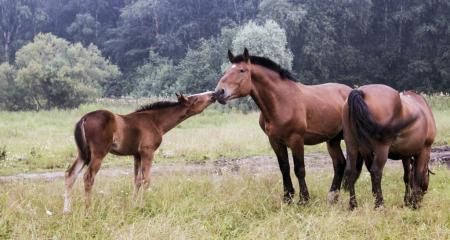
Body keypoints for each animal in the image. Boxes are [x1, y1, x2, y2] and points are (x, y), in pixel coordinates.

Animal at [63, 91, 216, 213]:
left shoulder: (136, 155)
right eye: (195, 99)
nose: (213, 94)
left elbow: (136, 180)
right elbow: (146, 180)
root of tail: (84, 119)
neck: (156, 122)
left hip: (83, 154)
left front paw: (134, 205)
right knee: (88, 177)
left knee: (70, 174)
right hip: (98, 153)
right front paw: (145, 205)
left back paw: (67, 211)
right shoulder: (148, 152)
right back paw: (88, 210)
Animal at [214, 48, 352, 204]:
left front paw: (304, 199)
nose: (219, 92)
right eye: (225, 71)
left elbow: (299, 169)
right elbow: (284, 168)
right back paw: (332, 197)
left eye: (242, 70)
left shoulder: (296, 140)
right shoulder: (275, 141)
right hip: (333, 140)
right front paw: (287, 198)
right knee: (339, 163)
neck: (282, 101)